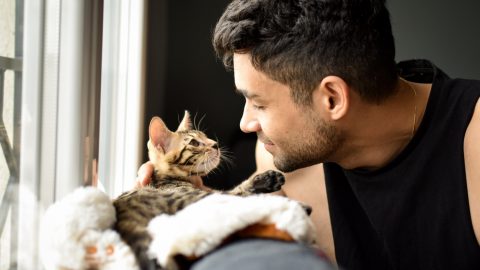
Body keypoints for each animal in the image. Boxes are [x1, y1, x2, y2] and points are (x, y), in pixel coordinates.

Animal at [112, 110, 284, 270]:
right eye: (194, 143)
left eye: (205, 136)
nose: (215, 144)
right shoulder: (203, 196)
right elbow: (236, 191)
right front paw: (266, 180)